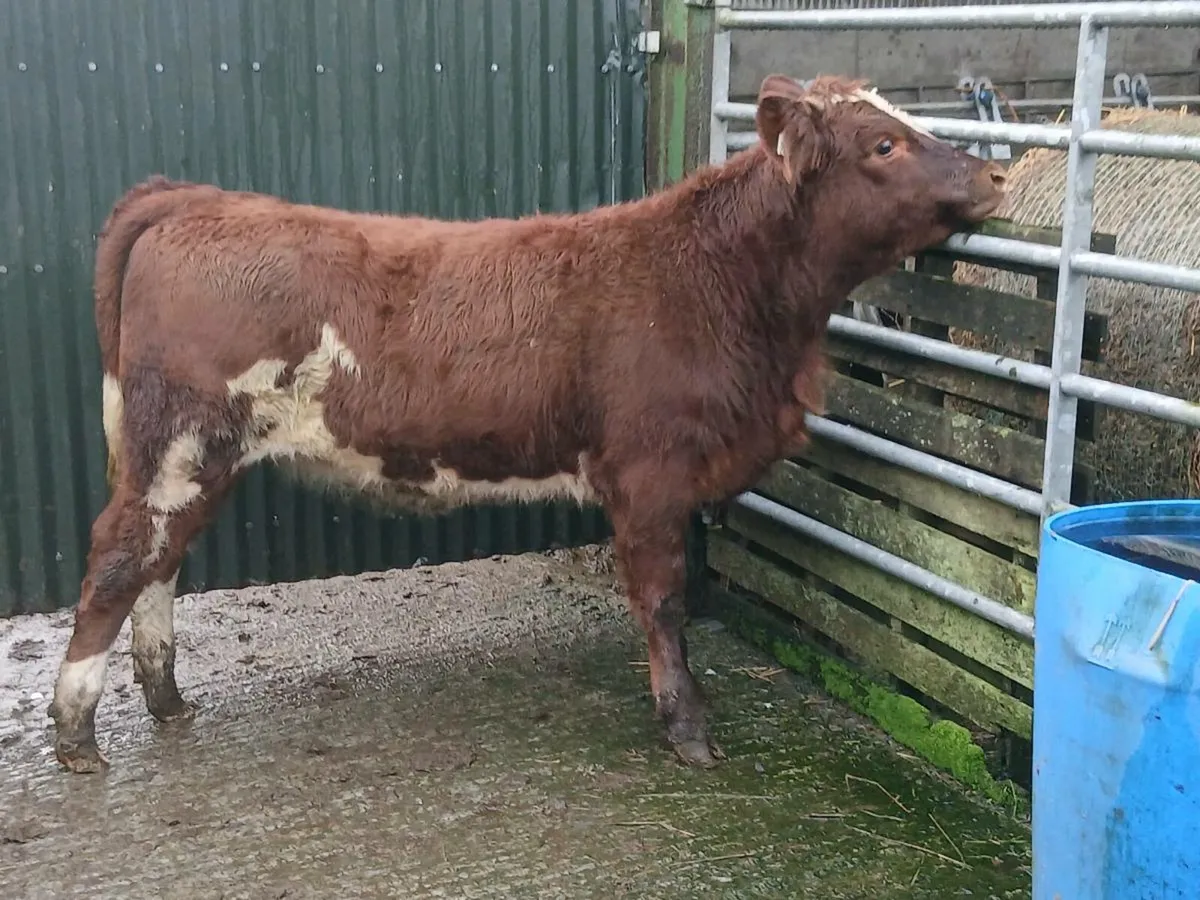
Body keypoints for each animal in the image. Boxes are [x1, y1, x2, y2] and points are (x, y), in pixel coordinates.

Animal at [48, 74, 1006, 773]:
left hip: (194, 458)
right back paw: (75, 734)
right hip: (180, 443)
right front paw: (687, 727)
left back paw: (167, 700)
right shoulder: (650, 473)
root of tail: (191, 198)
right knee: (118, 562)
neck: (726, 286)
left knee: (160, 565)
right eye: (883, 144)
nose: (996, 174)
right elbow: (663, 600)